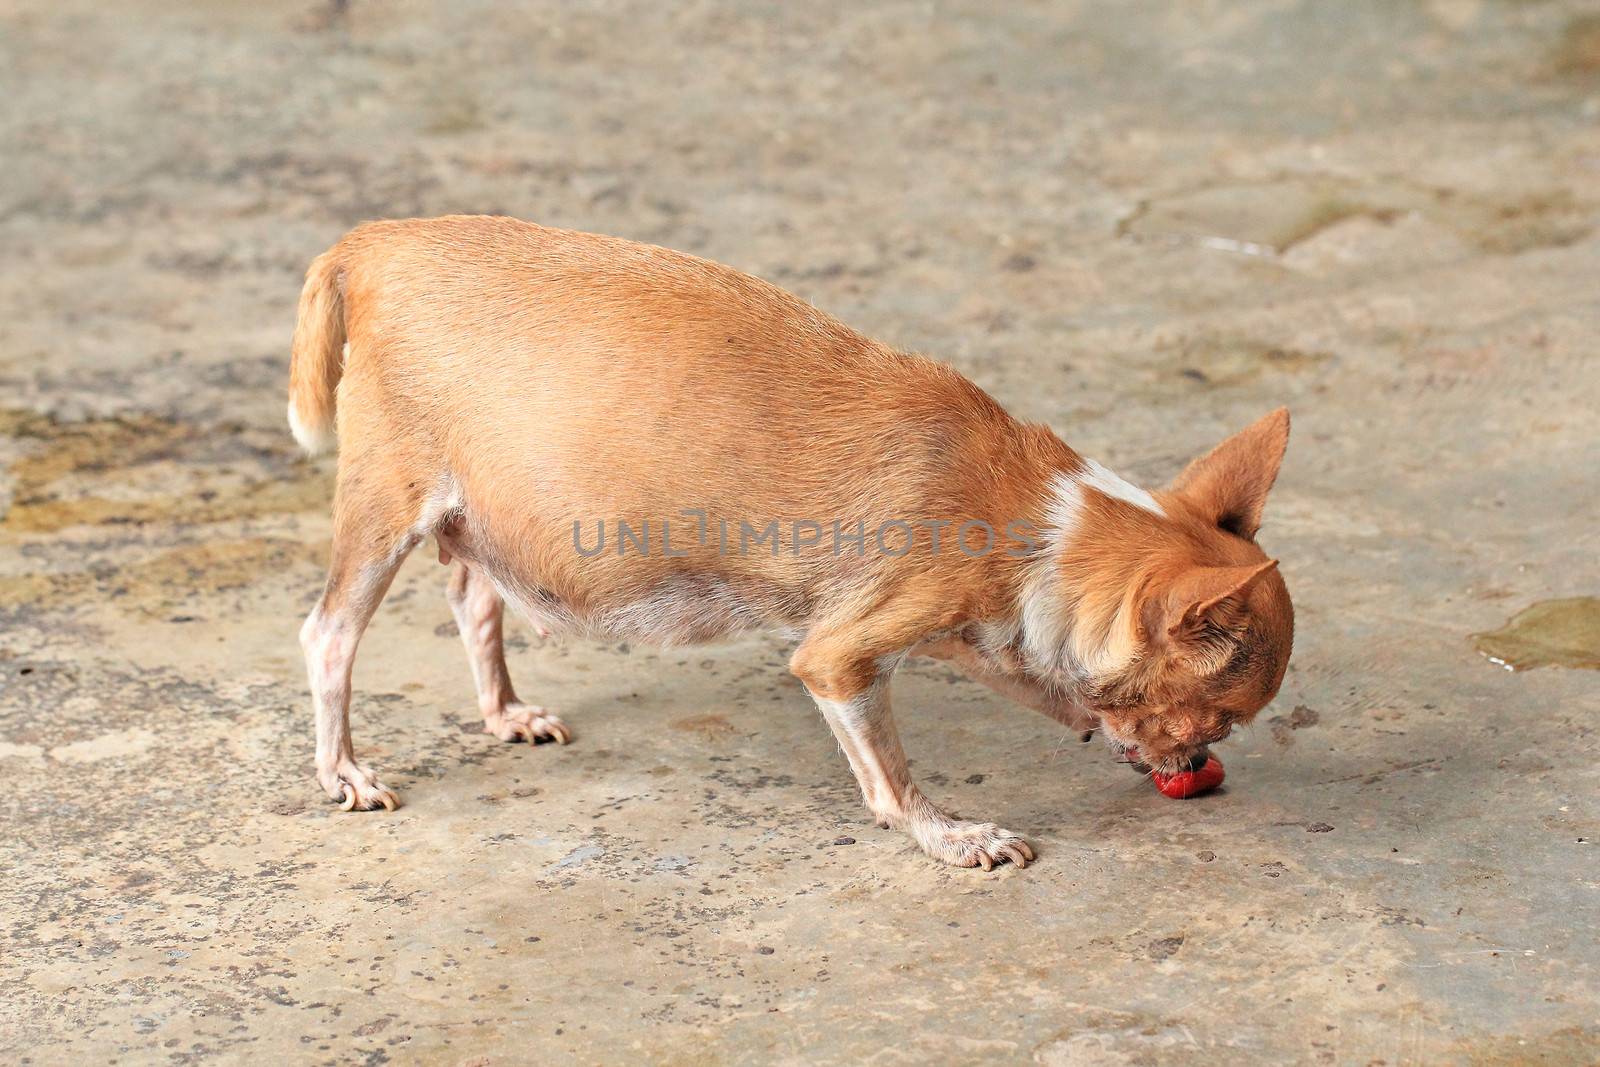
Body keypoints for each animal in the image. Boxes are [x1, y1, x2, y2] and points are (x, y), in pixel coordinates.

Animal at [284, 214, 1286, 870]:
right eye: (1216, 721)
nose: (1196, 767)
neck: (1042, 520)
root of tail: (372, 240)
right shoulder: (841, 658)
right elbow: (889, 776)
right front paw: (949, 834)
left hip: (487, 512)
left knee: (472, 594)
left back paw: (504, 711)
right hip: (385, 509)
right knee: (328, 634)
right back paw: (343, 771)